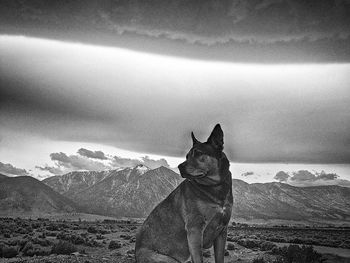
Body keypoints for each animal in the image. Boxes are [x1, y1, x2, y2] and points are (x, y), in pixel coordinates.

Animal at [136, 125, 232, 262]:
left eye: (199, 153)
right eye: (187, 156)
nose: (180, 167)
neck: (215, 187)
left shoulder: (222, 231)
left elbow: (220, 258)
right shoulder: (195, 230)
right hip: (167, 259)